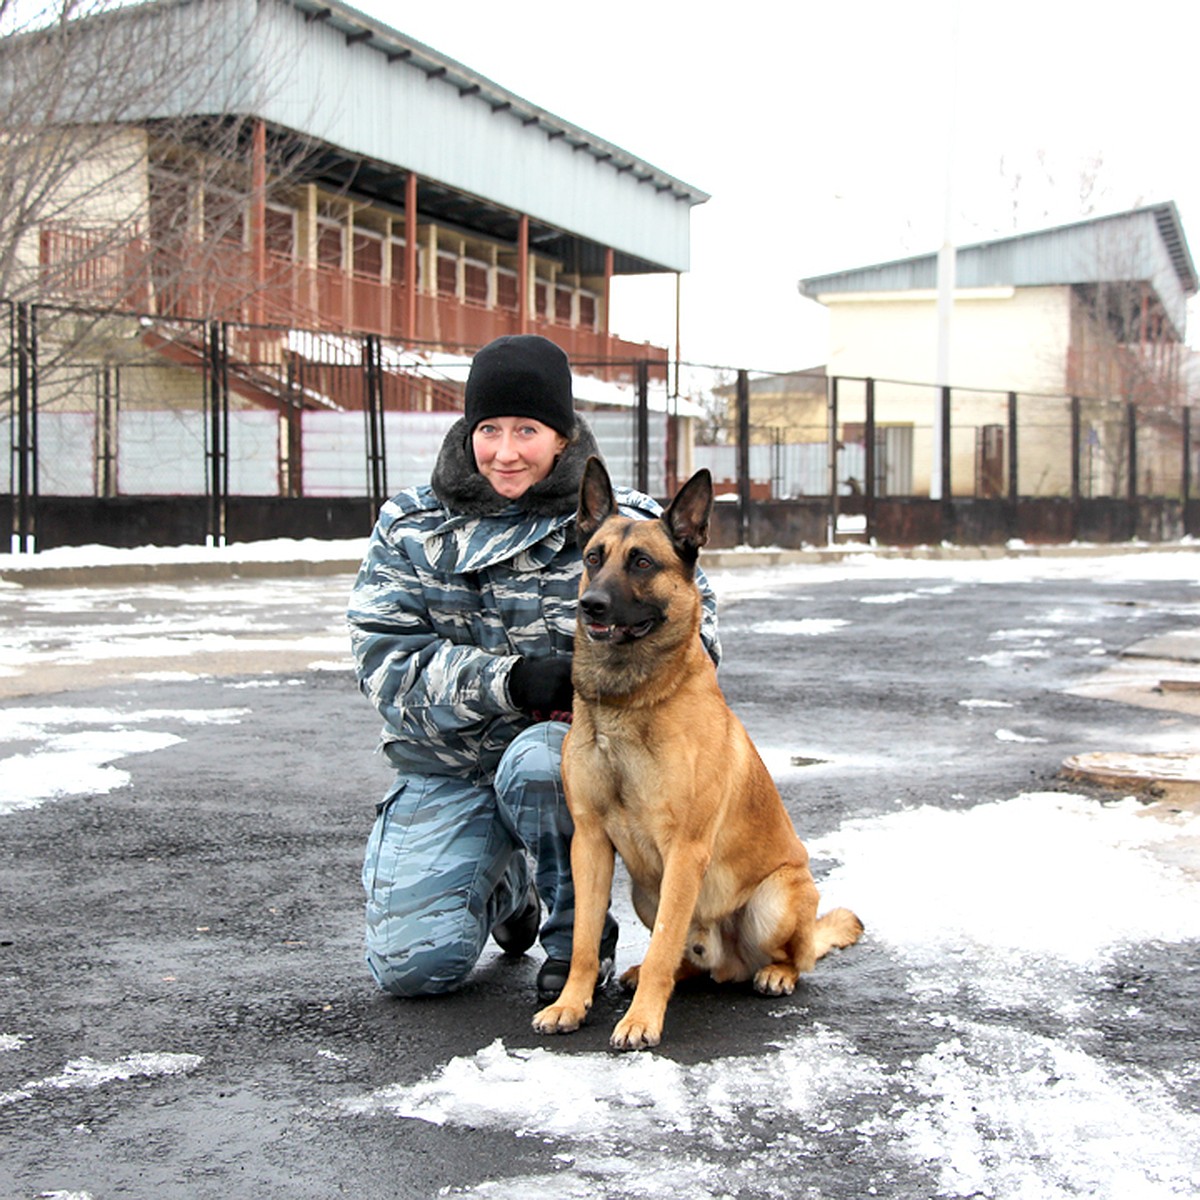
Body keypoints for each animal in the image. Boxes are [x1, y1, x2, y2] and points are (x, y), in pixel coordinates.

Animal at [535, 458, 864, 1051]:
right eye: (593, 558)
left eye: (642, 562)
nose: (591, 606)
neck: (630, 701)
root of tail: (730, 961)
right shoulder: (589, 843)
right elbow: (583, 941)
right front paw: (571, 1004)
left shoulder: (685, 851)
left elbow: (664, 942)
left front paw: (641, 1020)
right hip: (647, 890)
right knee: (686, 960)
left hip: (772, 900)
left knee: (795, 956)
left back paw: (774, 974)